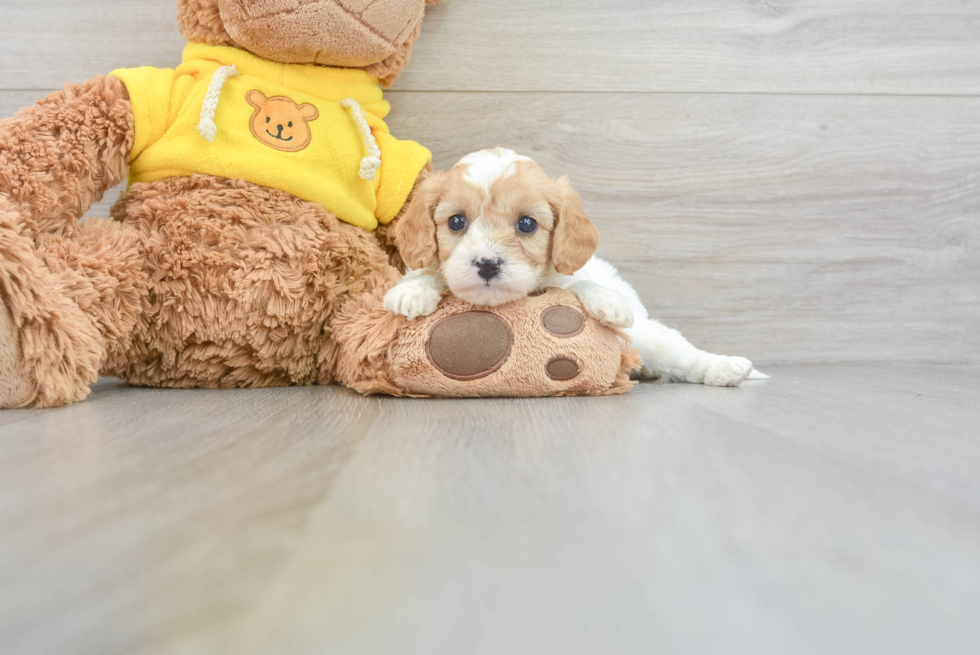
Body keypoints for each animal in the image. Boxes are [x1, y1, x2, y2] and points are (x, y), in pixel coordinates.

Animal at [384, 149, 764, 386]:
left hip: (647, 335)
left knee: (680, 354)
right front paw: (413, 291)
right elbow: (427, 273)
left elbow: (576, 283)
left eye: (526, 224)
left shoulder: (563, 277)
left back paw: (726, 368)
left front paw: (606, 301)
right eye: (456, 221)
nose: (488, 264)